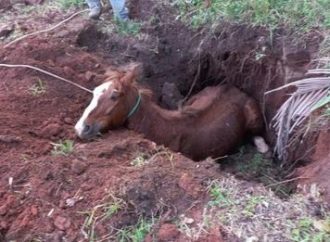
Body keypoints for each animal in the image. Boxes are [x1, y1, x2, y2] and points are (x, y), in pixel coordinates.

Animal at [75, 63, 268, 161]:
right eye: (94, 91)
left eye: (114, 96)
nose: (80, 128)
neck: (164, 129)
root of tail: (236, 88)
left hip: (253, 115)